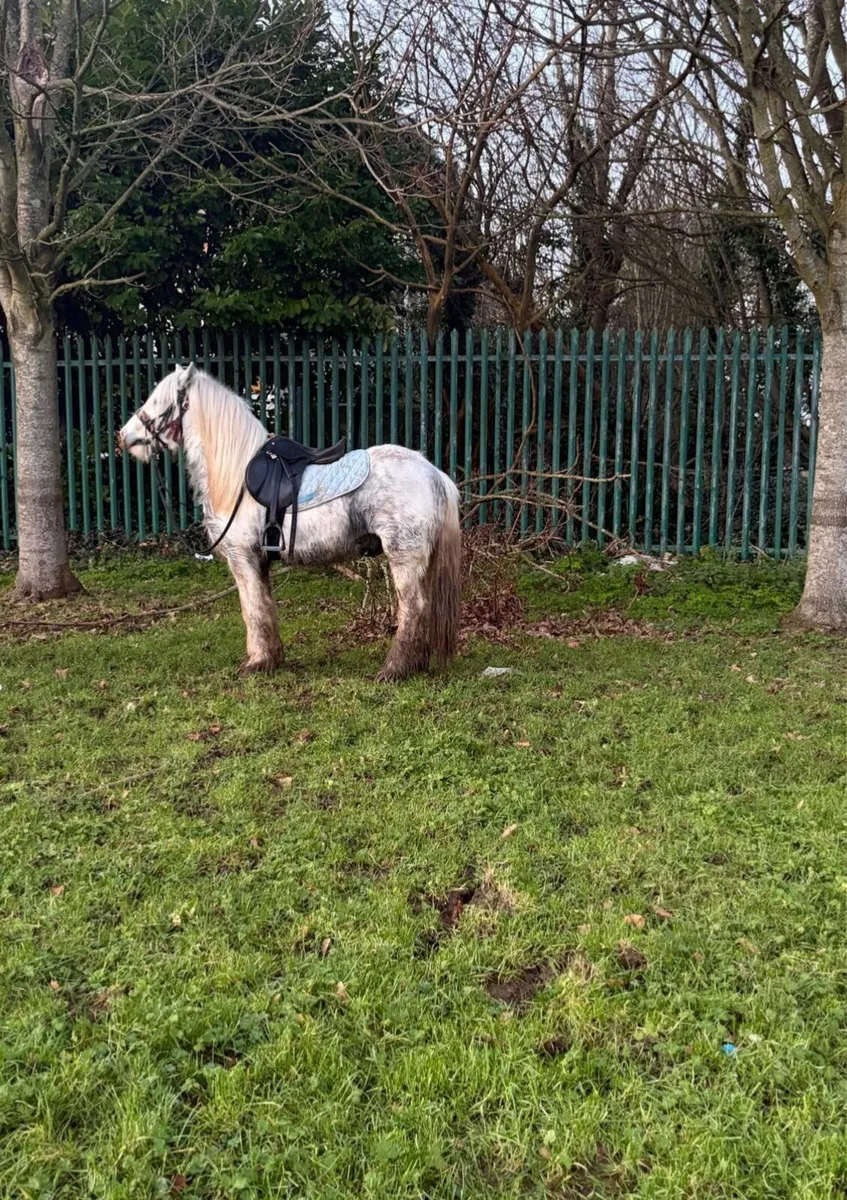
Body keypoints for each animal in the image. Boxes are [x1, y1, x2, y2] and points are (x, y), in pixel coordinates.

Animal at [119, 363, 461, 682]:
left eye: (158, 400)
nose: (124, 435)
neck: (236, 478)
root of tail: (434, 473)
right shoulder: (260, 561)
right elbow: (265, 607)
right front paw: (271, 659)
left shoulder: (242, 558)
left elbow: (252, 609)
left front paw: (256, 662)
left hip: (404, 558)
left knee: (413, 608)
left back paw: (394, 669)